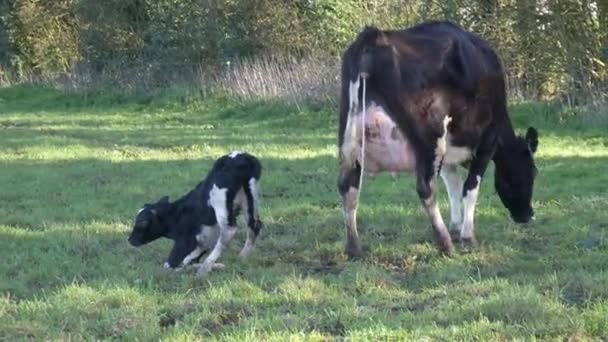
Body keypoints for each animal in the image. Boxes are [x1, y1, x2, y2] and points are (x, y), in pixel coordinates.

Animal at [127, 152, 262, 276]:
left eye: (142, 223)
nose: (129, 240)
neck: (176, 216)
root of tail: (242, 156)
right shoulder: (201, 244)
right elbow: (189, 261)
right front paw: (217, 266)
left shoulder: (185, 242)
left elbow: (169, 265)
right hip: (249, 198)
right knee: (254, 226)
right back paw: (241, 258)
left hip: (219, 201)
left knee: (229, 230)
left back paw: (205, 268)